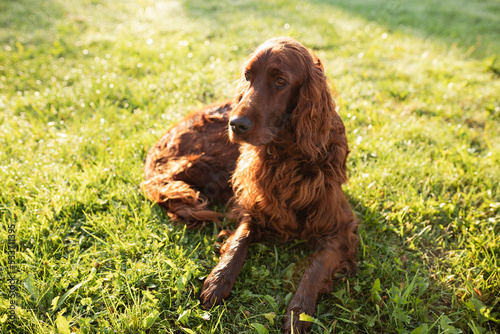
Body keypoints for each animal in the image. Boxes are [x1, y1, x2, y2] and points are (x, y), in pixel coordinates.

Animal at [143, 37, 358, 332]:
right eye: (248, 76)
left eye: (280, 81)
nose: (236, 124)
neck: (287, 157)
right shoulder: (250, 205)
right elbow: (239, 241)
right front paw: (217, 280)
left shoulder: (340, 229)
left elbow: (315, 267)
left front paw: (299, 311)